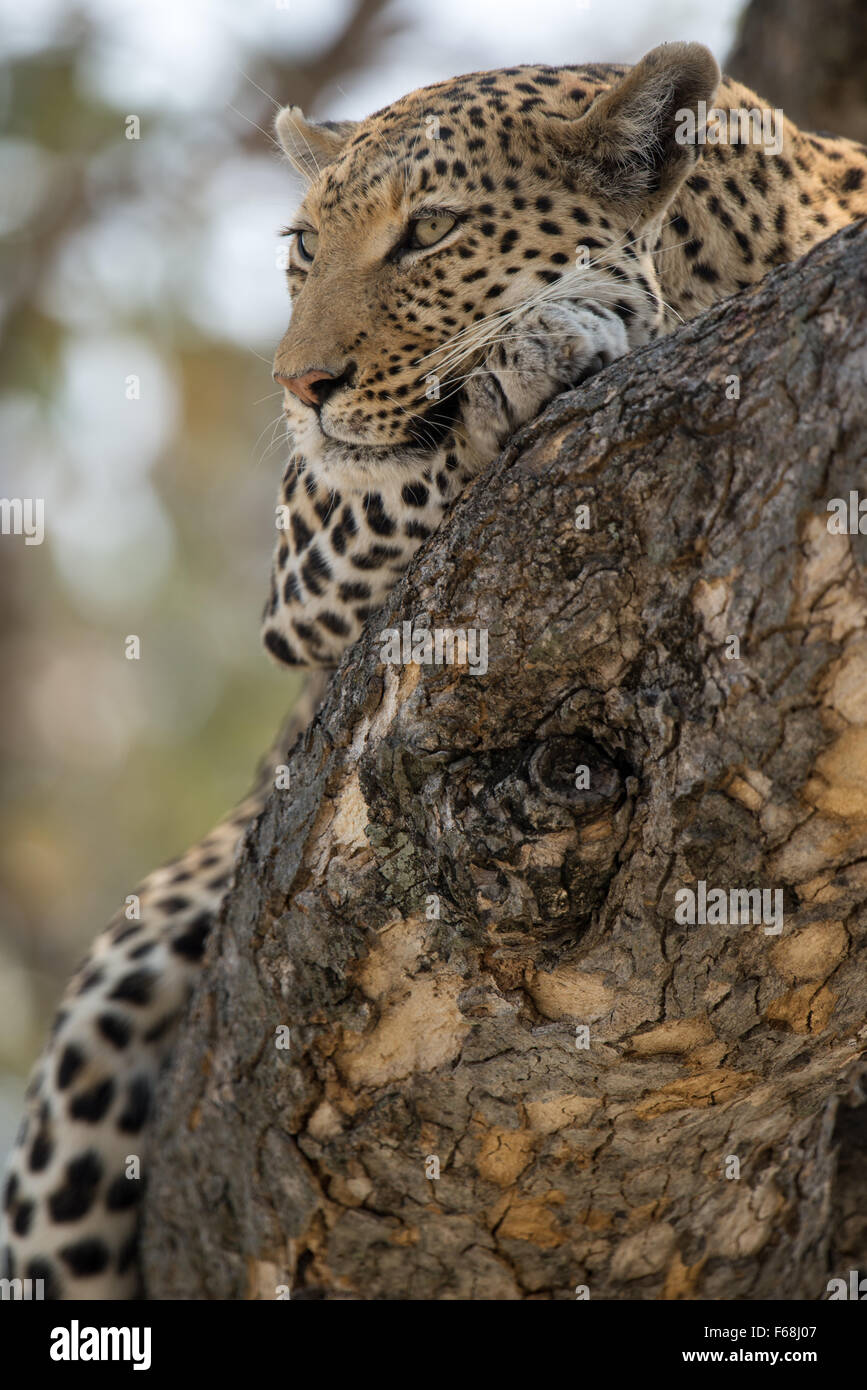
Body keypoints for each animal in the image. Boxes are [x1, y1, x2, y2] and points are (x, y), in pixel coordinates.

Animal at [5, 43, 867, 1301]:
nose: (297, 382)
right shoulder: (305, 542)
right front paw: (565, 332)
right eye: (302, 250)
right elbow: (400, 457)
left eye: (430, 233)